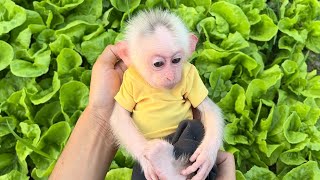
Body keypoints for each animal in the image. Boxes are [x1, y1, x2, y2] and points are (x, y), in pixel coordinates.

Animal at [109, 9, 224, 180]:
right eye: (158, 64)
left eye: (176, 60)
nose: (170, 76)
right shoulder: (128, 82)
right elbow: (119, 117)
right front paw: (145, 156)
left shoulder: (192, 76)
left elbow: (209, 109)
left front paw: (206, 156)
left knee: (194, 126)